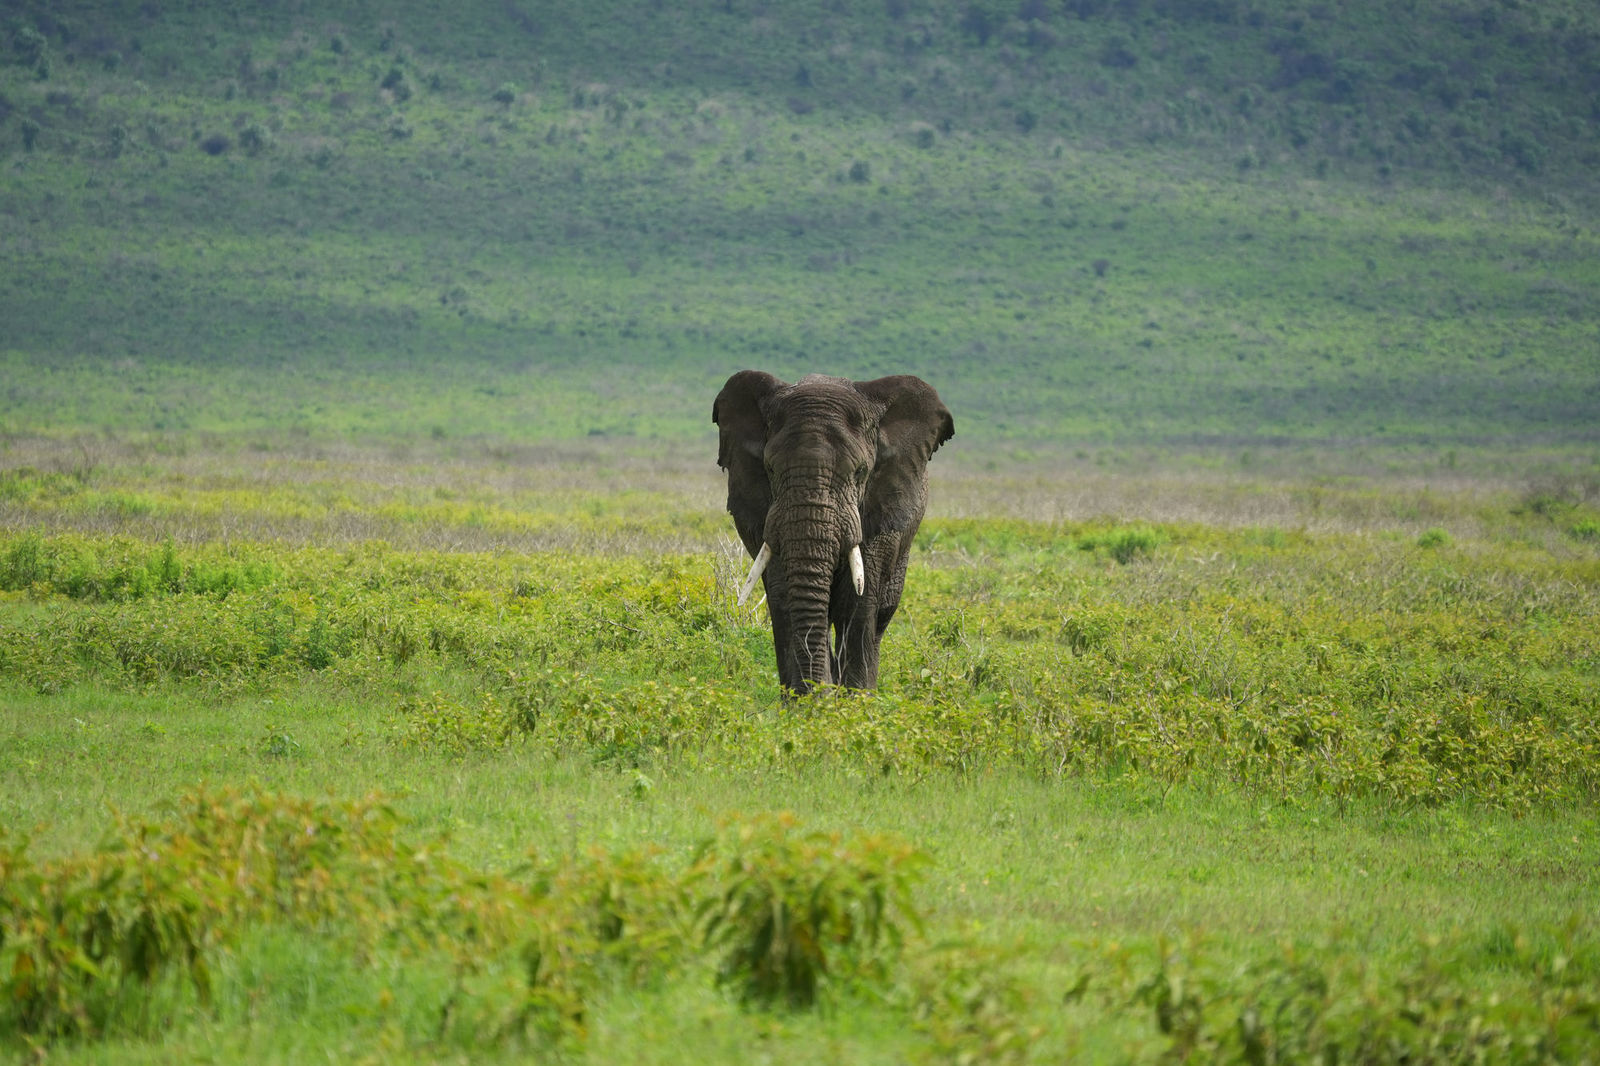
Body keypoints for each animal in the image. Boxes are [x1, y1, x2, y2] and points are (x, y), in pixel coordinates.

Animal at [713, 371, 954, 695]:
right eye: (771, 470)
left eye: (860, 472)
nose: (818, 694)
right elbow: (783, 594)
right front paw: (802, 702)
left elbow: (858, 600)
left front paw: (854, 703)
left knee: (879, 616)